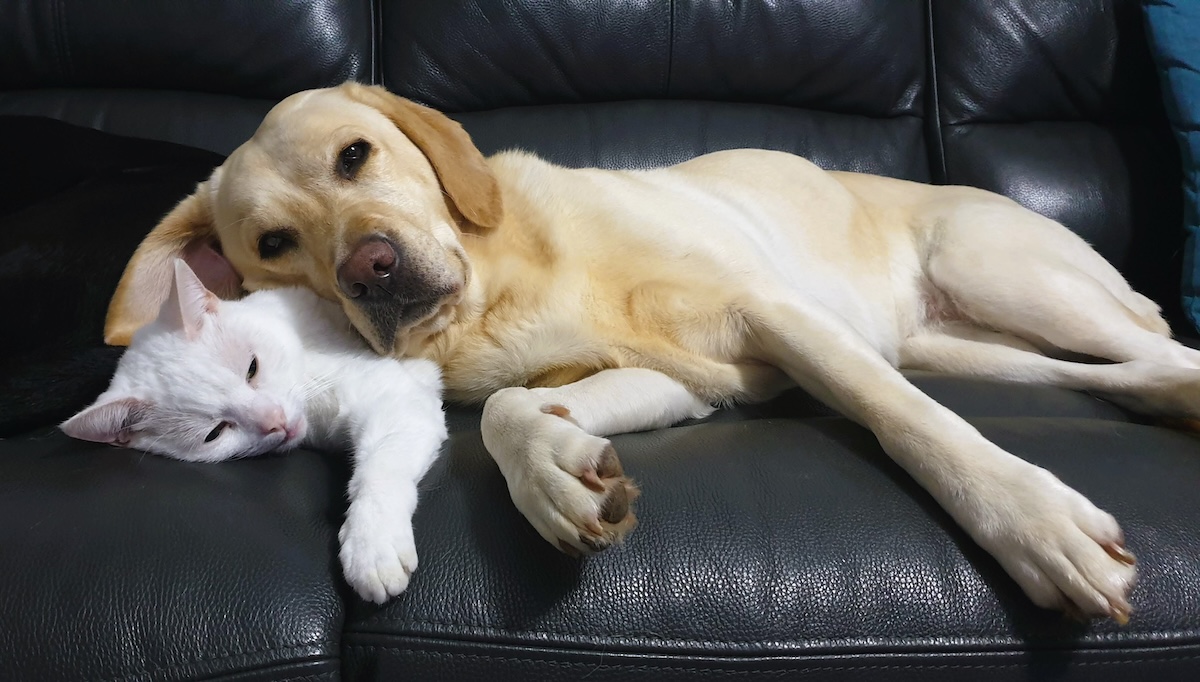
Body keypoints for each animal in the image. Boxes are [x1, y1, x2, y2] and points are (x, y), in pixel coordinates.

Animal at [62, 259, 446, 602]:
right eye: (215, 433)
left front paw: (372, 546)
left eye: (252, 368)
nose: (274, 421)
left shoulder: (396, 398)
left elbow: (378, 472)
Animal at [103, 81, 1190, 624]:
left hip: (997, 269)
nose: (372, 269)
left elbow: (906, 422)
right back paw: (1171, 399)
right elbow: (511, 413)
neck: (501, 286)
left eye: (356, 156)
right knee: (1131, 368)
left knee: (1149, 342)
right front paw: (561, 479)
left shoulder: (773, 317)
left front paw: (1029, 520)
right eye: (273, 243)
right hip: (968, 346)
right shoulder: (684, 381)